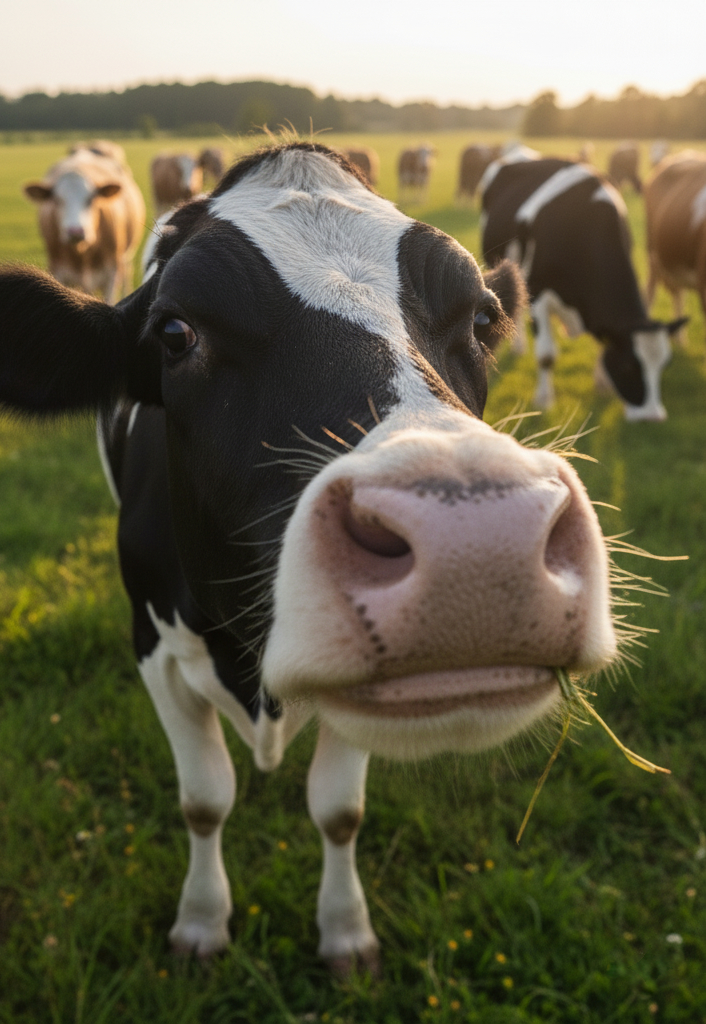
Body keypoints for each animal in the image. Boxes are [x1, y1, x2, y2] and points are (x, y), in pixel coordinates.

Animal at [23, 145, 146, 304]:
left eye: (91, 199)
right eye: (57, 200)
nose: (75, 231)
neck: (82, 252)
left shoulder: (111, 272)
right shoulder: (58, 270)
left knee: (127, 273)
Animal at [481, 157, 686, 419]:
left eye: (664, 365)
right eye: (627, 366)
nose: (651, 417)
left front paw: (602, 384)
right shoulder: (538, 293)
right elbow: (546, 356)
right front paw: (544, 400)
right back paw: (518, 347)